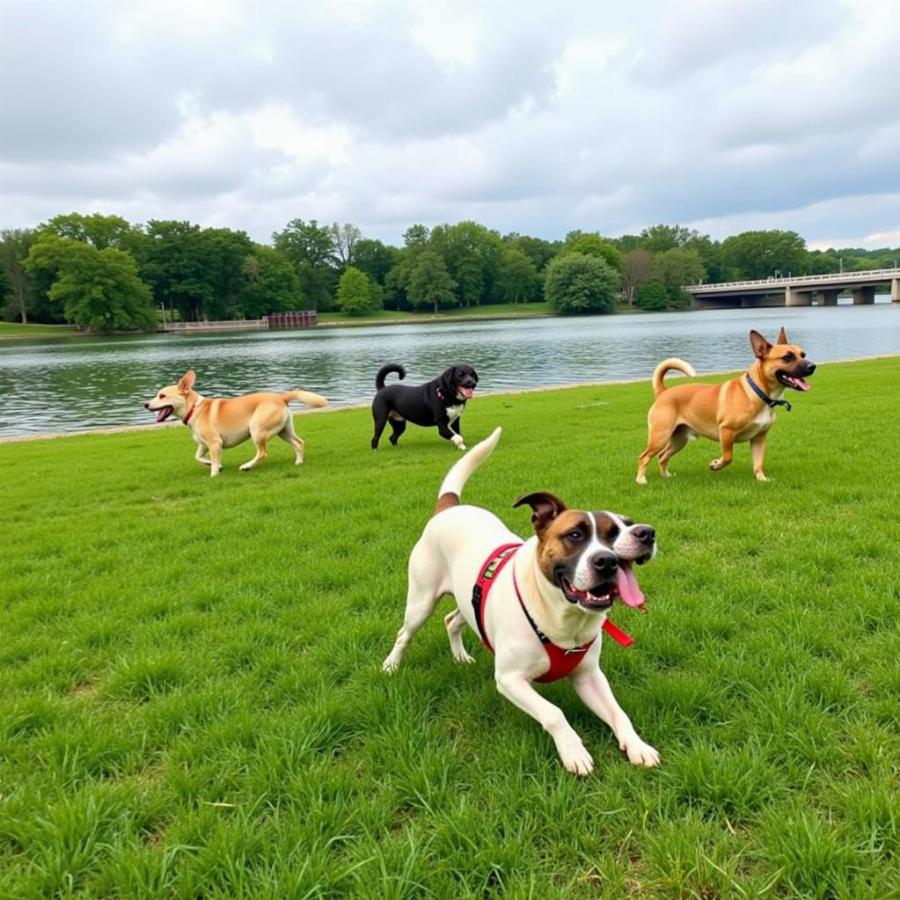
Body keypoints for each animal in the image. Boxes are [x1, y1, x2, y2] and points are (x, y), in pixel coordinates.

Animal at [146, 368, 328, 478]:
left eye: (162, 396)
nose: (145, 405)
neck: (194, 409)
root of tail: (280, 397)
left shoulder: (214, 443)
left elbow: (212, 461)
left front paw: (214, 473)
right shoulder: (203, 445)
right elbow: (198, 457)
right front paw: (215, 465)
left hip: (257, 430)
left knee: (262, 453)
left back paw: (247, 466)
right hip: (283, 431)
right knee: (299, 443)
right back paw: (298, 462)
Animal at [382, 428, 660, 772]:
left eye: (627, 525)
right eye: (576, 534)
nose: (646, 534)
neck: (561, 617)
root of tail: (449, 508)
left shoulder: (589, 675)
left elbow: (618, 713)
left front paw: (637, 746)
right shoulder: (510, 679)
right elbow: (554, 713)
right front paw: (573, 751)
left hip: (469, 601)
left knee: (451, 620)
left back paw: (460, 656)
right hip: (421, 600)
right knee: (404, 633)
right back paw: (391, 664)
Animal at [632, 328, 816, 486]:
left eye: (803, 354)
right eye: (787, 357)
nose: (812, 366)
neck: (756, 392)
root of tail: (663, 391)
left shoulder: (759, 438)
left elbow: (758, 462)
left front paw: (761, 479)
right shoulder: (726, 431)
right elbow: (728, 457)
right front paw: (716, 464)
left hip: (679, 439)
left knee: (662, 456)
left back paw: (666, 476)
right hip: (660, 435)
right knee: (644, 456)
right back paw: (641, 480)